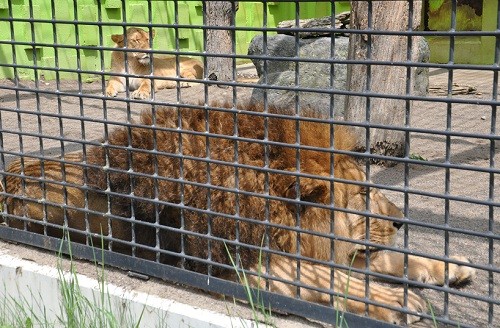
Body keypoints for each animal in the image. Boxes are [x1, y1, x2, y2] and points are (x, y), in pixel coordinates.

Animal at [0, 102, 474, 322]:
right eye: (362, 193)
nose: (400, 220)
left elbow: (386, 259)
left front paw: (449, 266)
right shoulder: (242, 268)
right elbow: (331, 280)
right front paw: (397, 301)